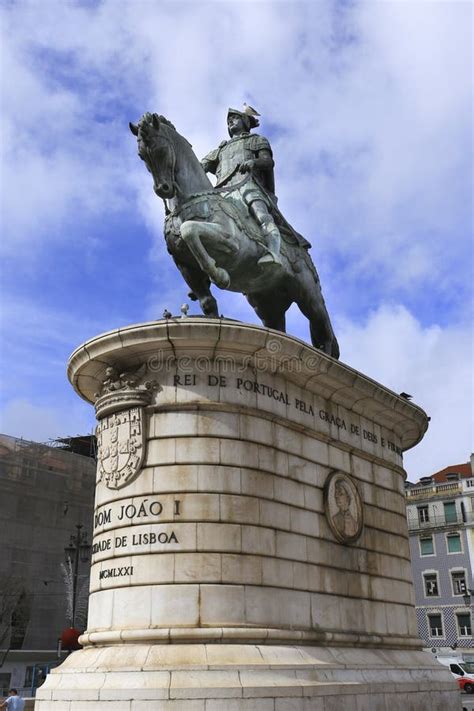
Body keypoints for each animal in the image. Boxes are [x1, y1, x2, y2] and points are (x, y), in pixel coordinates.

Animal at [128, 113, 338, 358]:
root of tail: (304, 253)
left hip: (308, 294)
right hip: (266, 302)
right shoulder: (184, 264)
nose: (163, 189)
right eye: (142, 155)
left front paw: (219, 275)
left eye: (161, 149)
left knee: (322, 328)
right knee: (277, 325)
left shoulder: (231, 243)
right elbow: (207, 302)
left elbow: (190, 230)